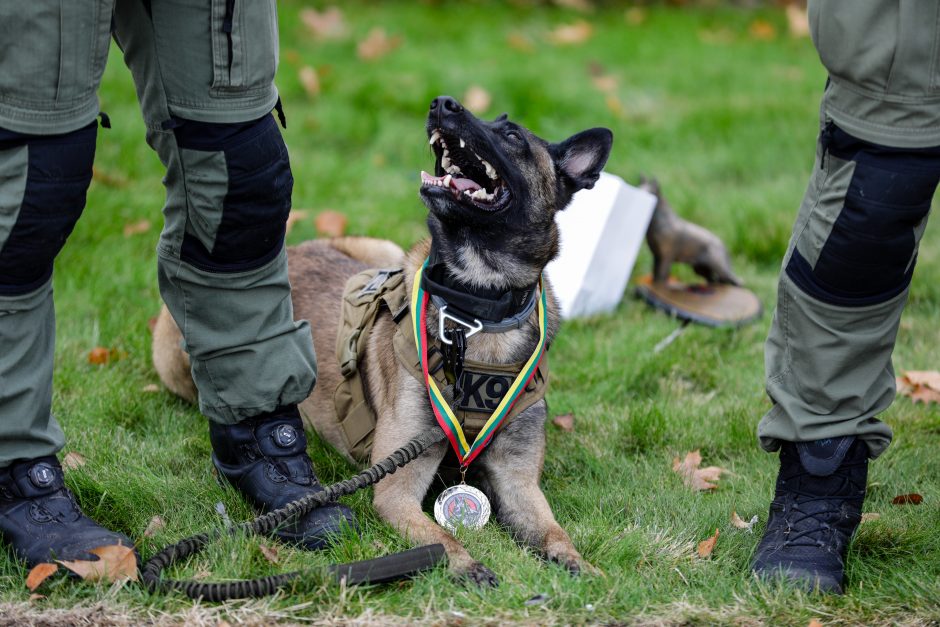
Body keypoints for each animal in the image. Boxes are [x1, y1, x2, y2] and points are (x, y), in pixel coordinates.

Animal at [152, 95, 616, 588]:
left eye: (512, 136)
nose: (442, 104)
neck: (478, 313)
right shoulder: (396, 489)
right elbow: (440, 538)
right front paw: (467, 565)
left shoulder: (518, 482)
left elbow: (554, 532)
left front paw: (581, 564)